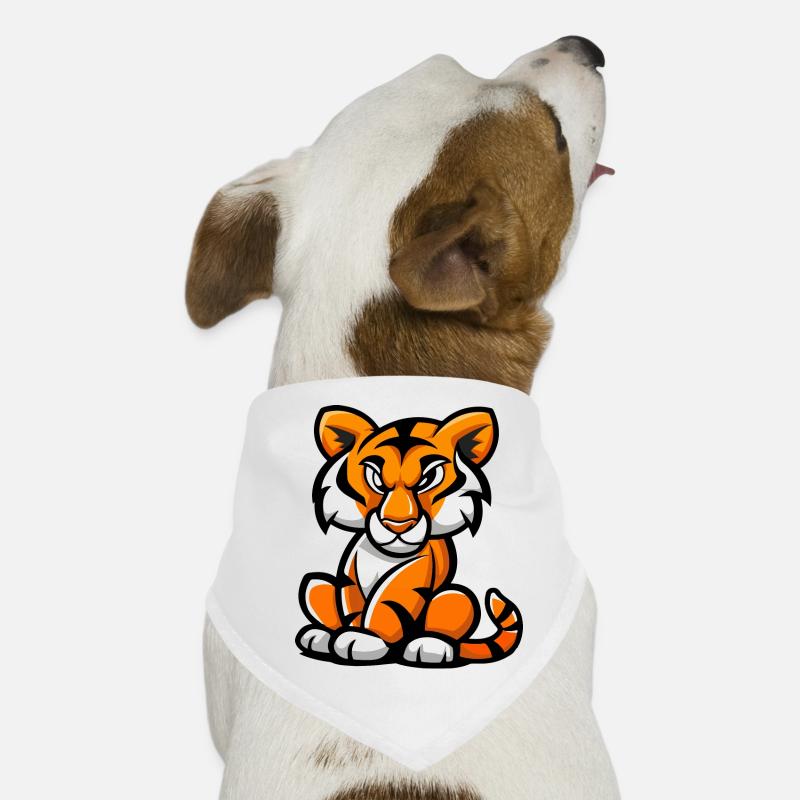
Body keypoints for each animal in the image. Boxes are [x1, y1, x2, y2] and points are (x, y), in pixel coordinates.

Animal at [296, 405, 523, 667]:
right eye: (375, 478)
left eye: (428, 478)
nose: (397, 524)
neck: (383, 554)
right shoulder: (349, 575)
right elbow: (353, 607)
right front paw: (346, 635)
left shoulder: (412, 574)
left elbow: (384, 604)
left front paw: (363, 639)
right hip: (316, 582)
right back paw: (320, 636)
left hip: (455, 595)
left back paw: (428, 646)